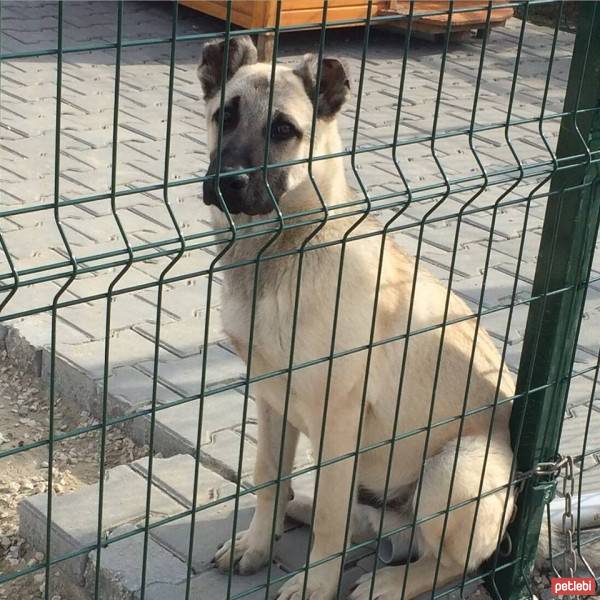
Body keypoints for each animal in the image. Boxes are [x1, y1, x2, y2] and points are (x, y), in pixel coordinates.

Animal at [198, 37, 516, 600]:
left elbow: (330, 519)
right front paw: (257, 543)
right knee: (356, 519)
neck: (285, 247)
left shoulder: (338, 419)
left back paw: (387, 581)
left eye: (284, 130)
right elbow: (268, 477)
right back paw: (299, 511)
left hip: (456, 469)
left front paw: (315, 584)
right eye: (225, 116)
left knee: (450, 560)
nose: (227, 183)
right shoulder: (271, 400)